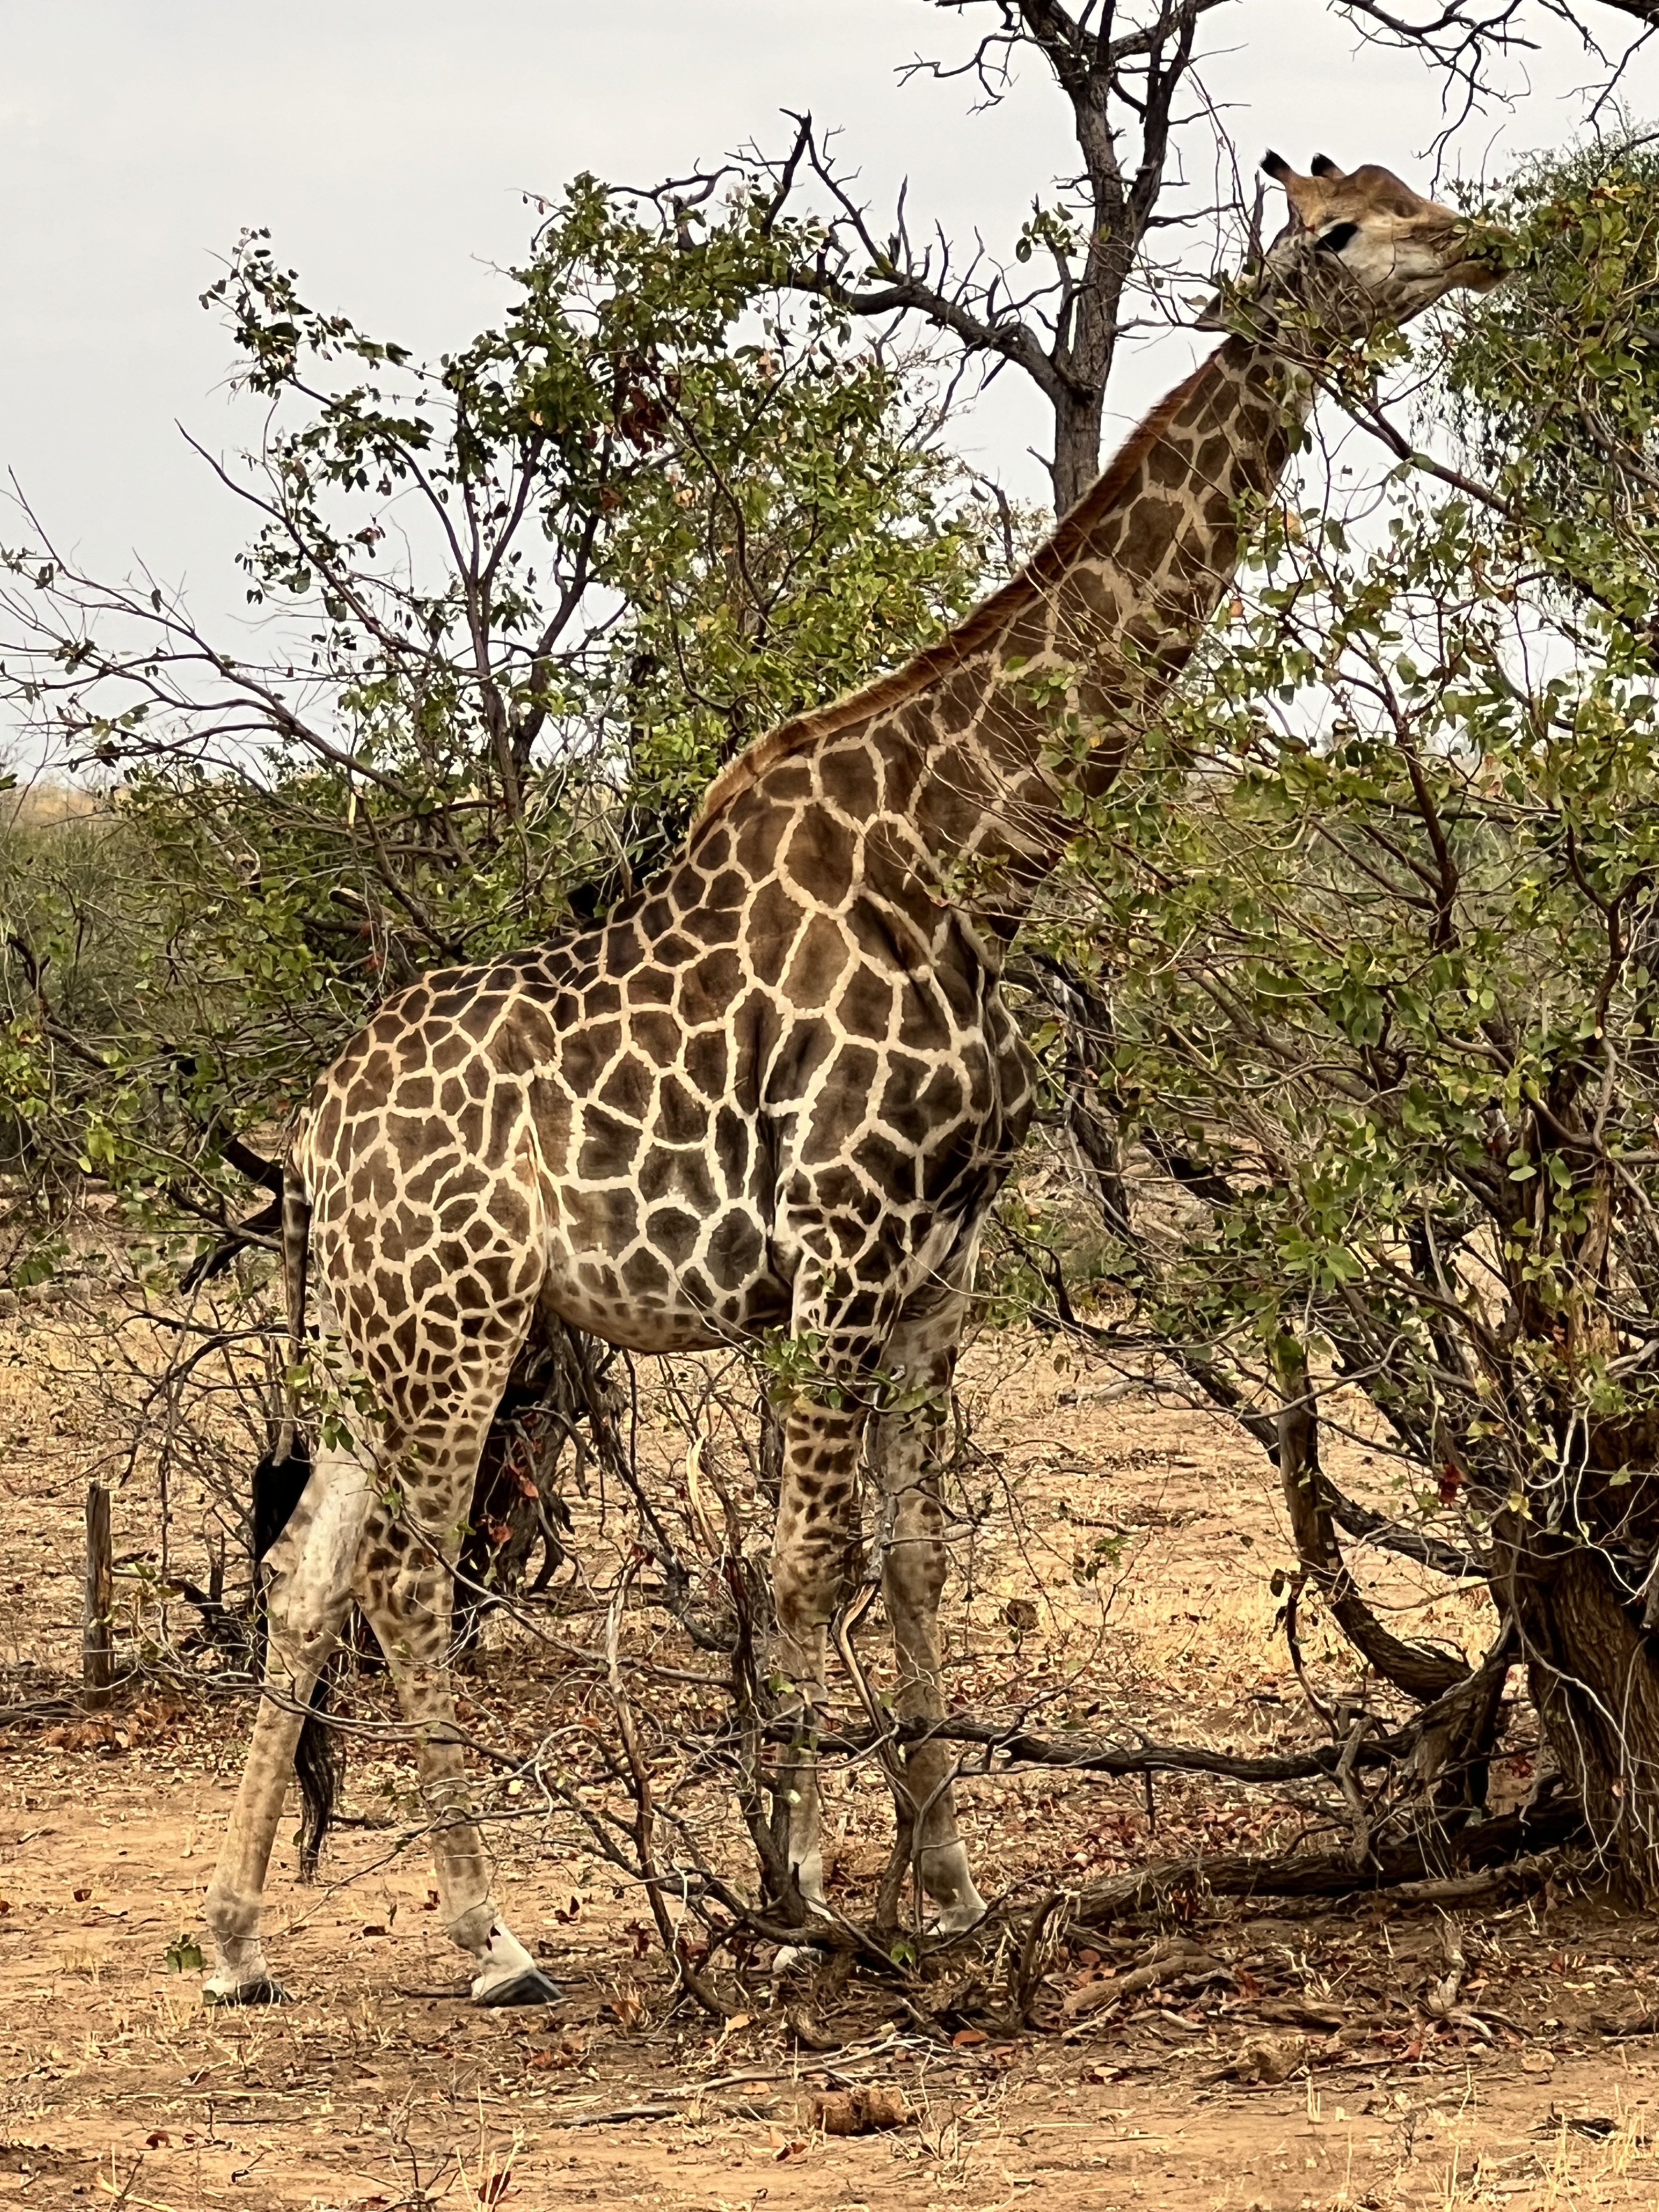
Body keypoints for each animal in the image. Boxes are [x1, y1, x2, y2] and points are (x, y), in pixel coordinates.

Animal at [202, 155, 1496, 2007]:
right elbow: (804, 1562)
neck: (974, 860)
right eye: (1339, 232)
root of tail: (314, 1136)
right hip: (459, 1321)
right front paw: (807, 1899)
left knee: (309, 1576)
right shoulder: (839, 1239)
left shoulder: (939, 1258)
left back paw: (236, 1940)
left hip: (376, 1329)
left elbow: (913, 1557)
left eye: (1404, 194)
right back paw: (491, 1936)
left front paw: (938, 1887)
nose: (1482, 242)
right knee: (403, 1577)